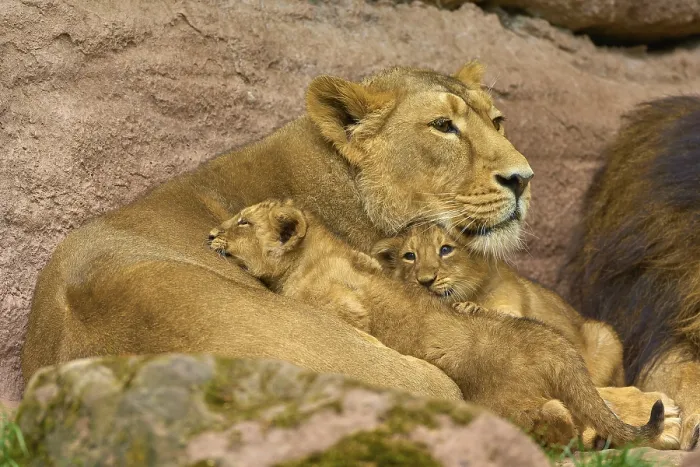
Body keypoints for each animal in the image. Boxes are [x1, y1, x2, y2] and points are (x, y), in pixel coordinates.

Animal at [208, 198, 666, 447]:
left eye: (243, 222)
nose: (210, 235)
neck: (309, 256)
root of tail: (547, 341)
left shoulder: (345, 308)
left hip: (502, 398)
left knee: (555, 412)